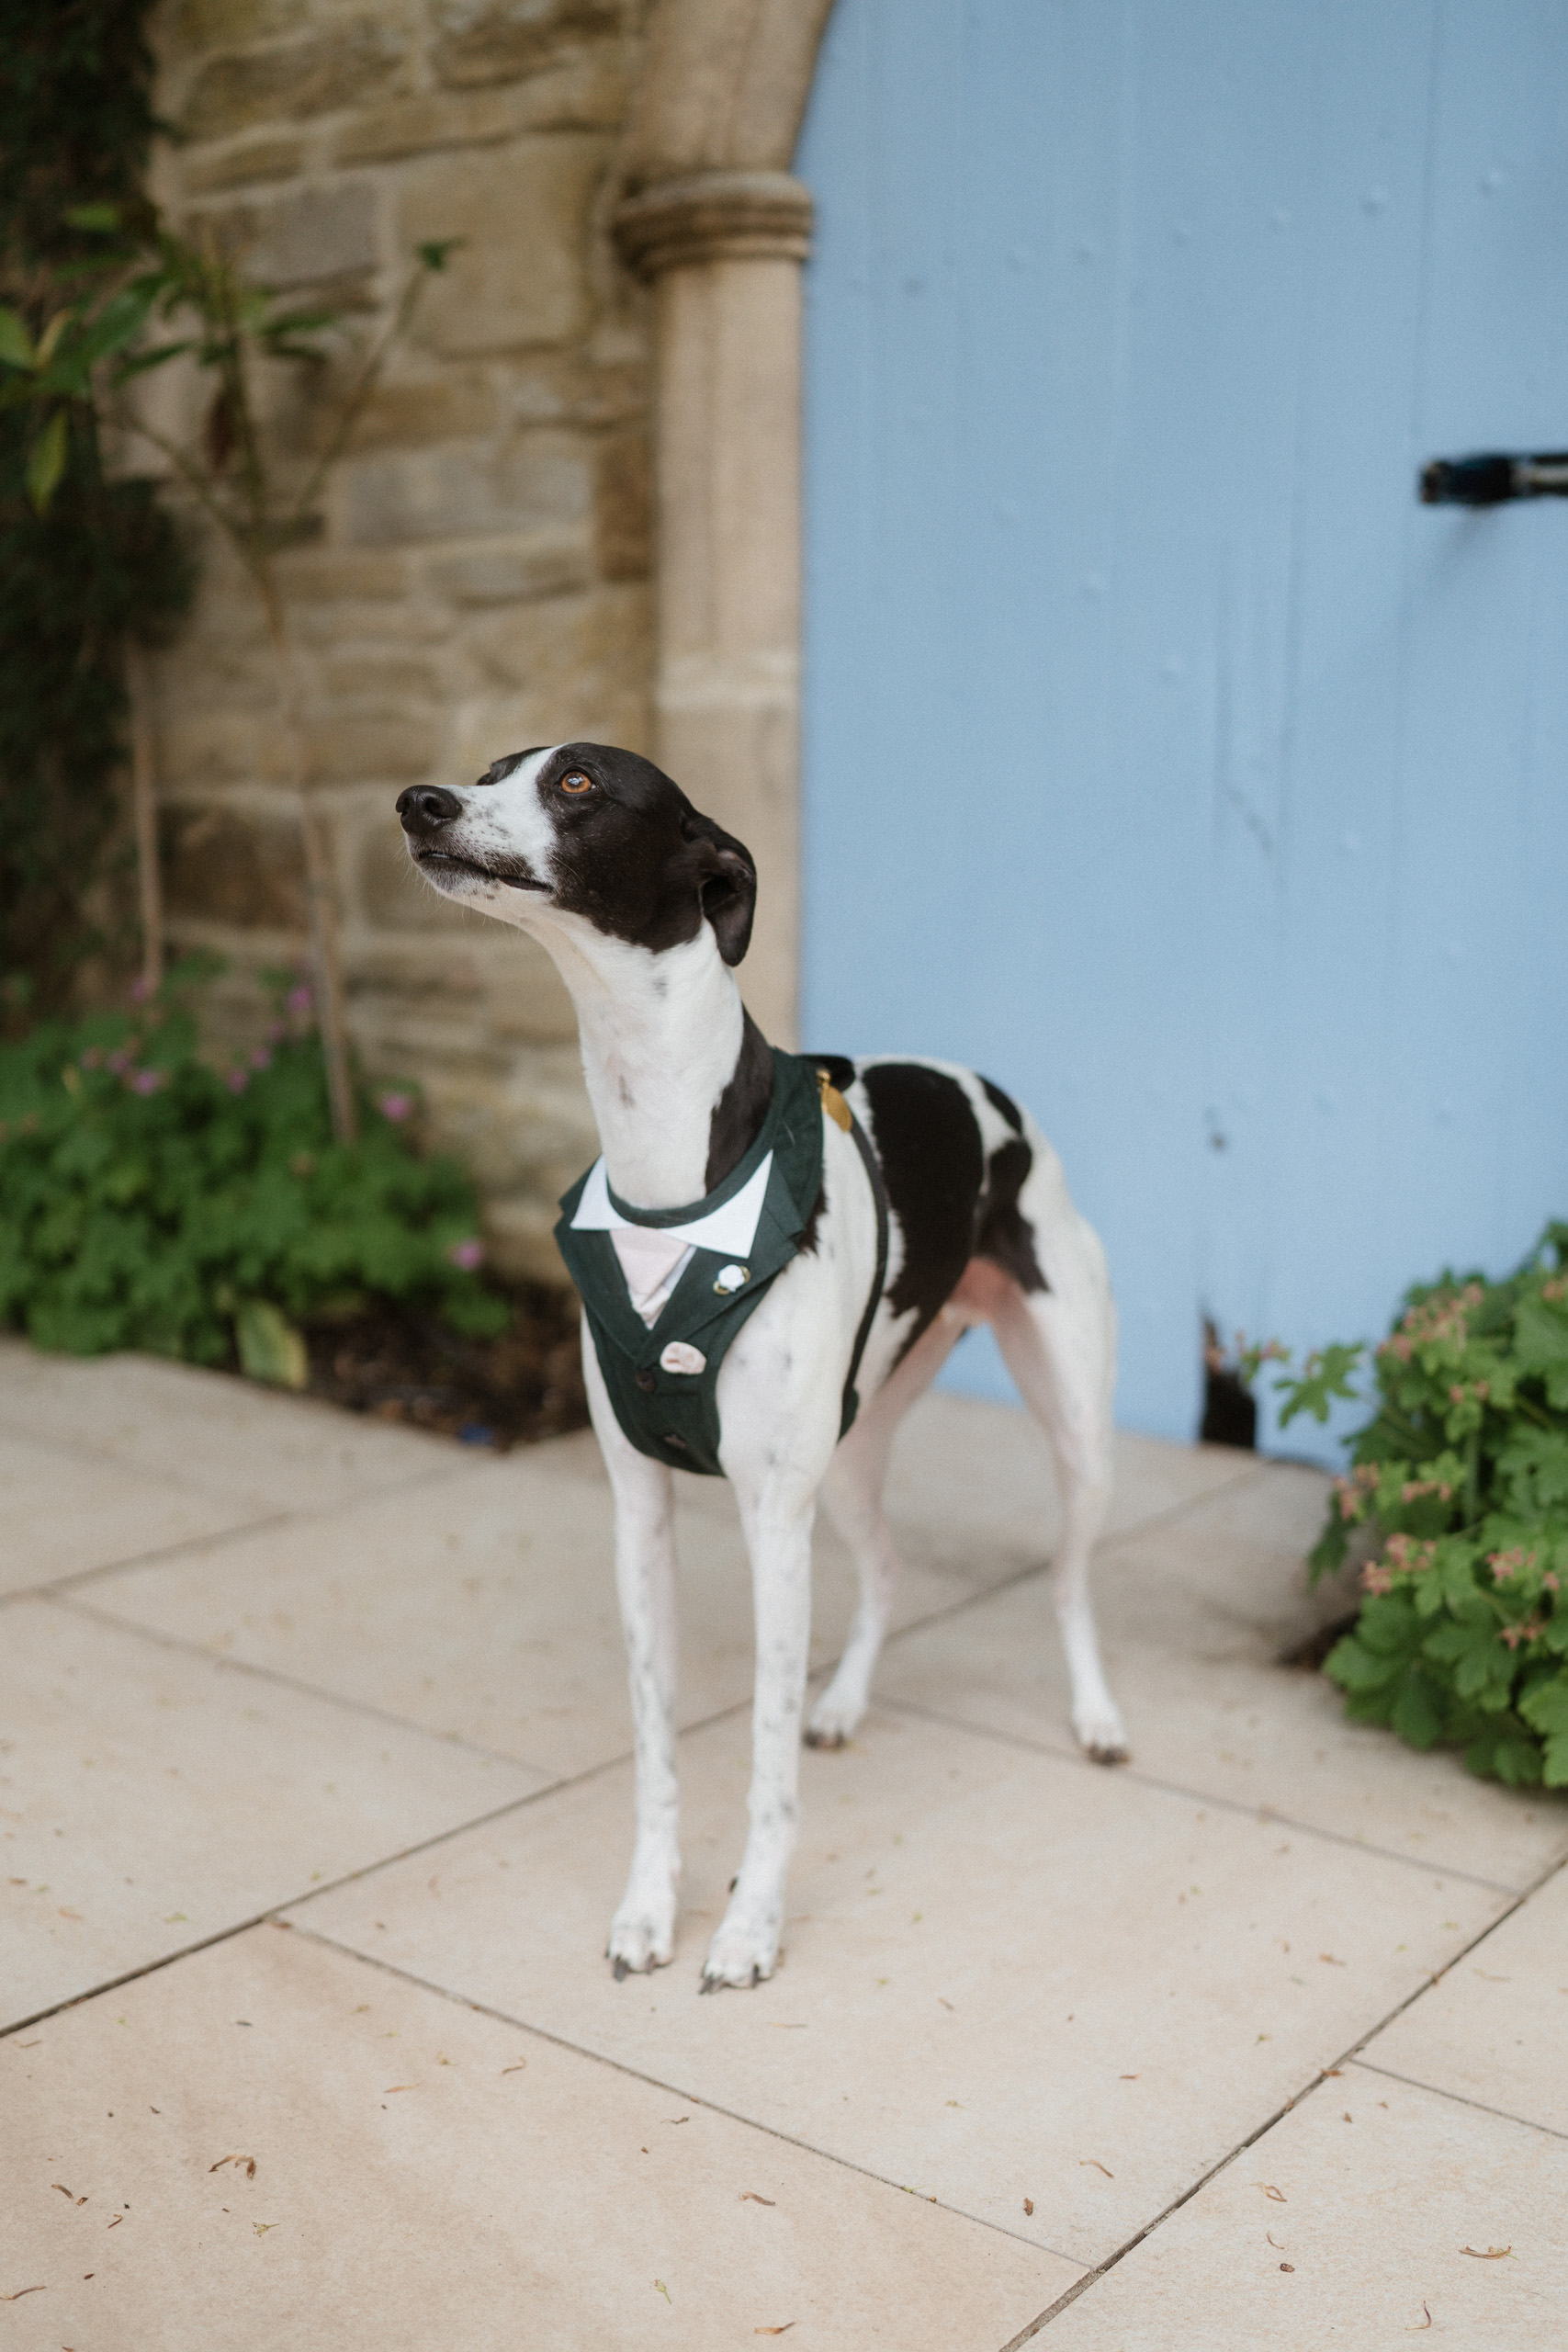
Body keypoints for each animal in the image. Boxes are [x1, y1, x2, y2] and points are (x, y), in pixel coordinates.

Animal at [397, 741, 1126, 1991]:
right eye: (493, 769)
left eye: (578, 783)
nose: (418, 802)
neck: (669, 1161)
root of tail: (990, 1093)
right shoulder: (641, 1516)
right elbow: (657, 1746)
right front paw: (651, 1906)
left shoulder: (770, 1524)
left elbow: (765, 1760)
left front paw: (750, 1929)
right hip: (855, 1447)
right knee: (888, 1567)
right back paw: (845, 1700)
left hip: (1072, 1431)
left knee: (1071, 1582)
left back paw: (1094, 1715)